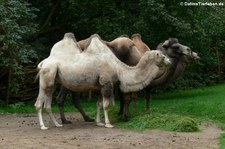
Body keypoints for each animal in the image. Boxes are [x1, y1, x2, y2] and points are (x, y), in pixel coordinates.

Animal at [34, 32, 170, 129]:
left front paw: (98, 122)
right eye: (162, 55)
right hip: (48, 76)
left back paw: (58, 124)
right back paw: (43, 126)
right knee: (39, 103)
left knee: (47, 103)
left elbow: (99, 104)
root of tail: (43, 63)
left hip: (53, 81)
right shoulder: (106, 82)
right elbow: (106, 105)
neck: (118, 68)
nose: (169, 61)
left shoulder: (99, 85)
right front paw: (108, 123)